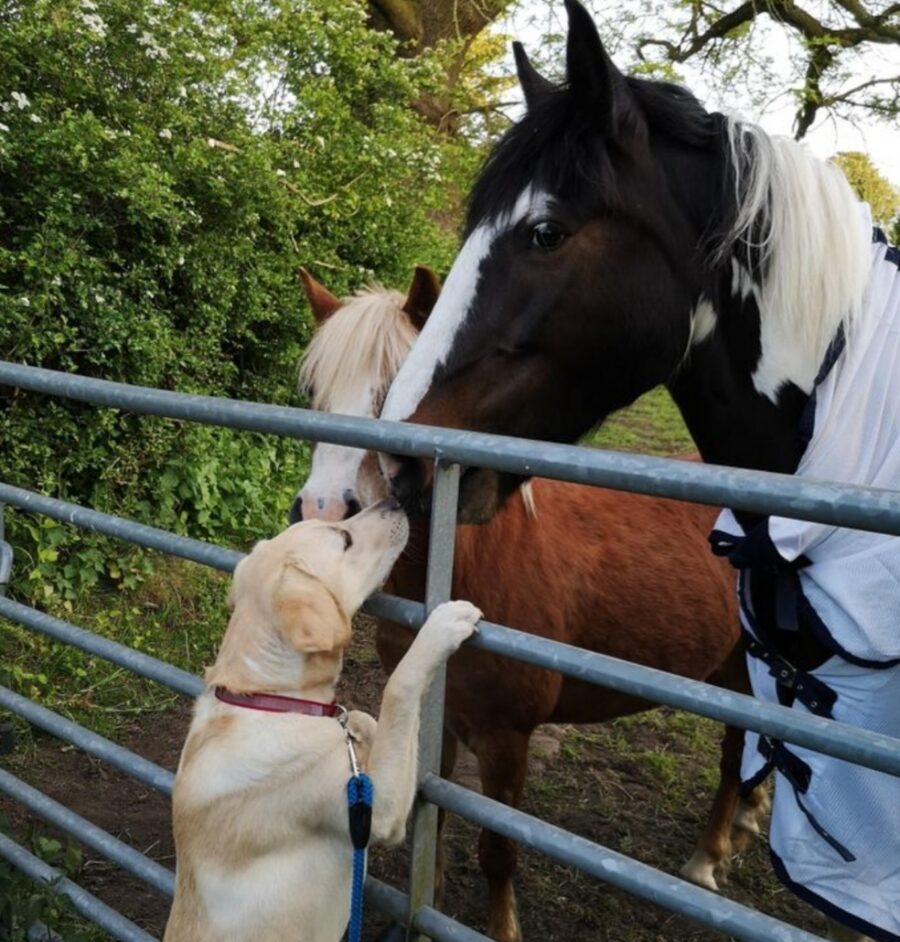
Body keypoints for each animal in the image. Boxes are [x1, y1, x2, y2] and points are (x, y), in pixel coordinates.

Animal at [164, 498, 482, 940]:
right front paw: (444, 624)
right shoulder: (377, 809)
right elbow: (397, 686)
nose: (394, 500)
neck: (270, 697)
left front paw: (360, 730)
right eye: (344, 538)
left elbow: (363, 717)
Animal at [290, 266, 768, 942]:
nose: (322, 510)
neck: (463, 567)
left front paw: (503, 928)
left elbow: (498, 849)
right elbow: (432, 817)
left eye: (393, 397)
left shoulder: (506, 738)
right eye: (314, 391)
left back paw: (708, 858)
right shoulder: (440, 721)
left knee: (732, 761)